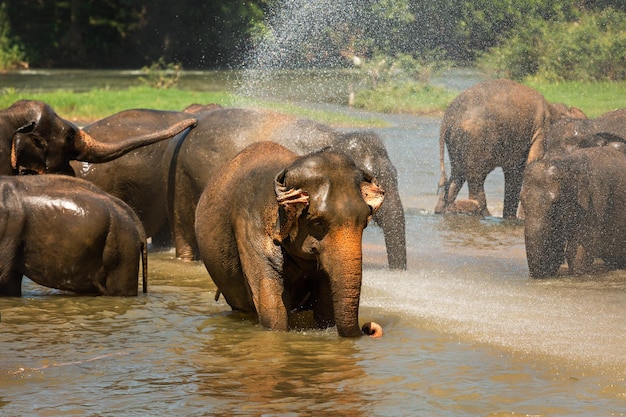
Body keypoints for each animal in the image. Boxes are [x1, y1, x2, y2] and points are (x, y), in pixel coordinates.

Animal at [194, 141, 386, 336]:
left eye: (365, 222)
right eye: (317, 222)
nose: (368, 328)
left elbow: (325, 307)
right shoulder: (249, 228)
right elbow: (274, 311)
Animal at [434, 79, 584, 219]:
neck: (554, 109)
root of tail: (448, 118)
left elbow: (514, 172)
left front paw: (512, 218)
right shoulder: (541, 130)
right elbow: (531, 166)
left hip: (457, 142)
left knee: (456, 176)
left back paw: (441, 211)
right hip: (475, 140)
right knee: (475, 177)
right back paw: (485, 215)